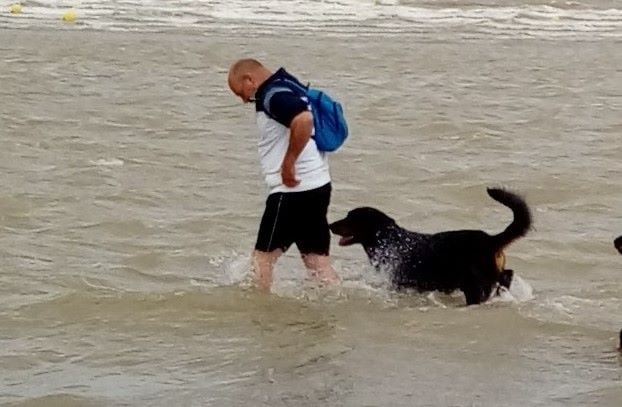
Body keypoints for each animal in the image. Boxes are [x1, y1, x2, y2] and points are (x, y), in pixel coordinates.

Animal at [329, 187, 532, 305]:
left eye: (350, 218)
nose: (330, 225)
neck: (388, 241)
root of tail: (491, 239)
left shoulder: (398, 283)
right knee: (506, 275)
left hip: (475, 282)